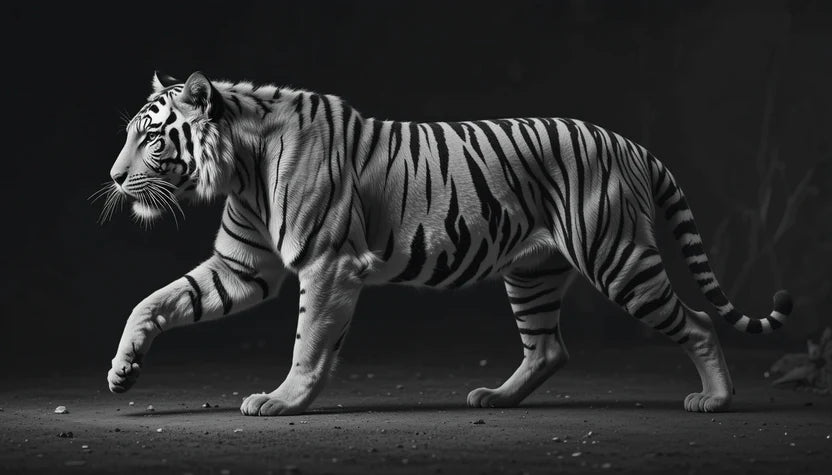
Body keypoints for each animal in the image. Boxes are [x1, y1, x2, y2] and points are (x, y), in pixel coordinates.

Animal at [103, 71, 793, 416]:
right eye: (131, 133)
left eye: (152, 136)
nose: (112, 177)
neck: (240, 166)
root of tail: (630, 144)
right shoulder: (242, 265)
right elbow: (155, 300)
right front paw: (122, 369)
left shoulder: (328, 265)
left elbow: (308, 343)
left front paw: (282, 400)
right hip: (532, 272)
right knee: (548, 348)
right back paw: (497, 398)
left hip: (618, 258)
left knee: (698, 321)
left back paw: (715, 399)